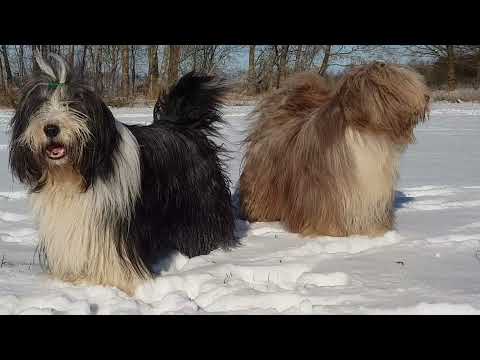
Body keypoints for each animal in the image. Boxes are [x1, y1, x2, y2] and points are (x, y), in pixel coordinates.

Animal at [9, 53, 238, 296]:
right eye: (39, 106)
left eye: (72, 105)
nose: (51, 128)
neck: (74, 173)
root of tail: (183, 126)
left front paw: (117, 282)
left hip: (198, 201)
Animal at [240, 62, 432, 236]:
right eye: (402, 85)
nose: (427, 97)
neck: (367, 135)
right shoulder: (324, 190)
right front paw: (330, 232)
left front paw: (374, 231)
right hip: (265, 178)